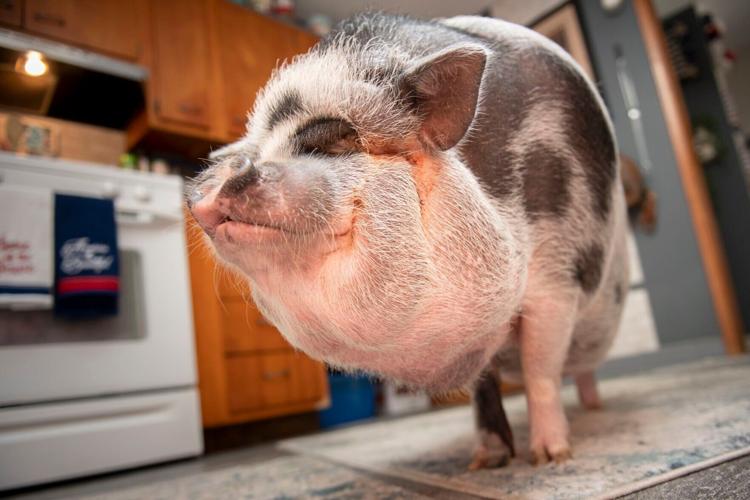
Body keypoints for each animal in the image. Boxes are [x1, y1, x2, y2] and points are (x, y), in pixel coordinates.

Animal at [189, 12, 629, 468]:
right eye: (256, 150)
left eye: (332, 142)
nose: (229, 170)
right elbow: (484, 384)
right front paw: (485, 462)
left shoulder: (557, 282)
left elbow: (541, 370)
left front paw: (551, 458)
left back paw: (595, 409)